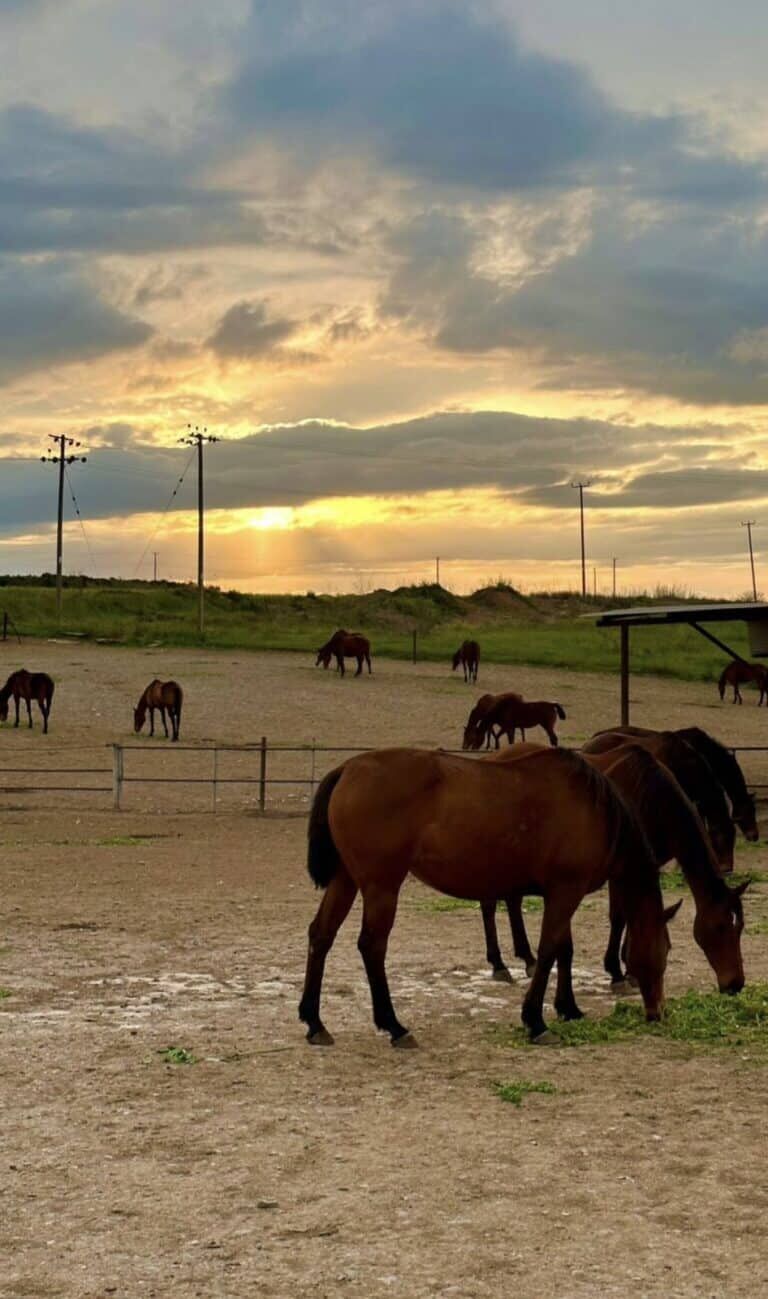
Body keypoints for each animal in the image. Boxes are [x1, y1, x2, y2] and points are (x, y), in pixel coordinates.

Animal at [300, 743, 680, 1044]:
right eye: (663, 951)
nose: (659, 1011)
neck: (592, 810)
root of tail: (348, 769)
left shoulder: (560, 894)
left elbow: (563, 949)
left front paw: (568, 1007)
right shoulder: (565, 892)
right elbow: (548, 951)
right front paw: (536, 1020)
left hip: (346, 880)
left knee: (322, 934)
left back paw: (315, 1021)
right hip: (381, 886)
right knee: (372, 946)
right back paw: (394, 1025)